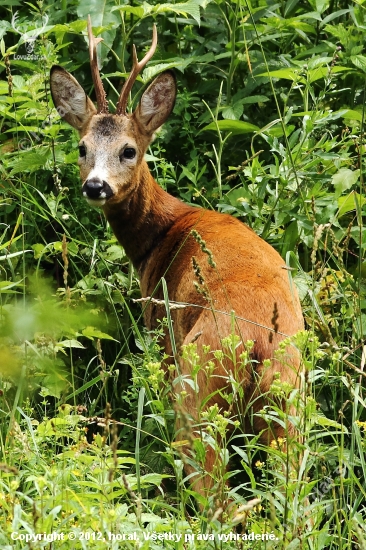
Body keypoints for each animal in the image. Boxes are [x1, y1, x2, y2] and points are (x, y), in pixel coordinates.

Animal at [50, 17, 304, 500]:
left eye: (129, 149)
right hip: (290, 398)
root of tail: (259, 342)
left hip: (198, 388)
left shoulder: (159, 328)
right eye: (82, 147)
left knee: (212, 488)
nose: (96, 186)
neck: (162, 231)